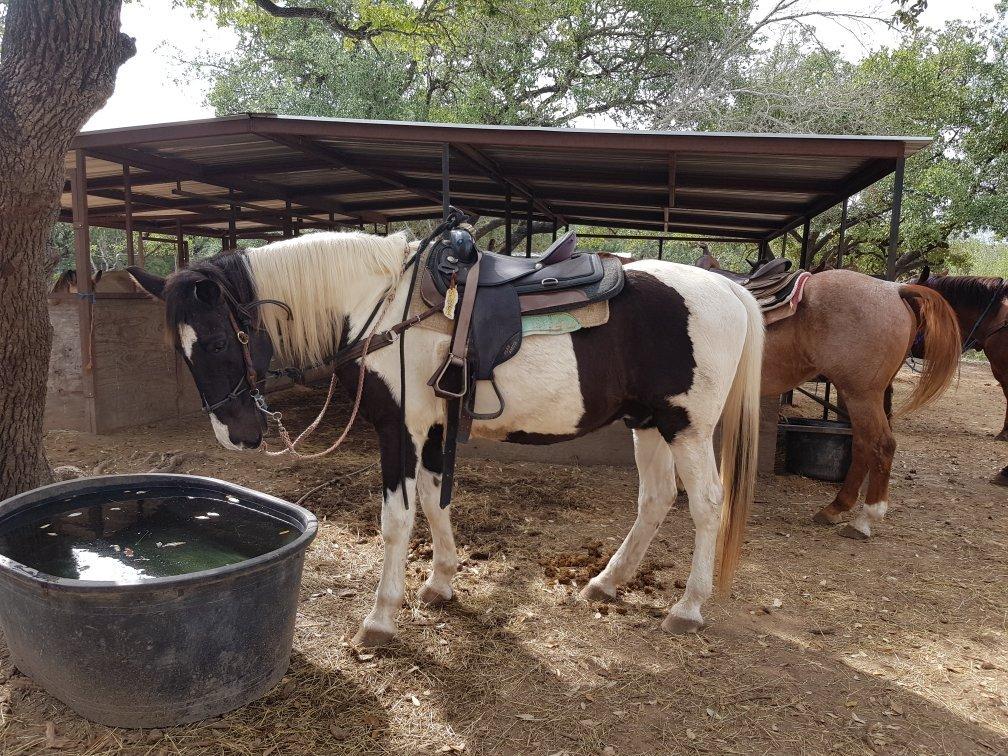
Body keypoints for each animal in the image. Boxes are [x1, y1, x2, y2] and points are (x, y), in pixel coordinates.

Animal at [128, 230, 762, 645]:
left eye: (215, 341)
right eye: (181, 350)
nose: (237, 435)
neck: (381, 306)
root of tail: (728, 289)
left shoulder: (398, 428)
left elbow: (398, 519)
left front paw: (382, 618)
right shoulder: (432, 428)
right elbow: (435, 502)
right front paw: (440, 584)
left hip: (686, 425)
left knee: (706, 505)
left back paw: (687, 607)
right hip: (647, 422)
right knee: (655, 499)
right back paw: (606, 583)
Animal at [762, 270, 959, 540]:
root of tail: (894, 289)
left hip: (862, 395)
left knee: (881, 444)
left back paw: (865, 518)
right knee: (863, 445)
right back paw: (835, 508)